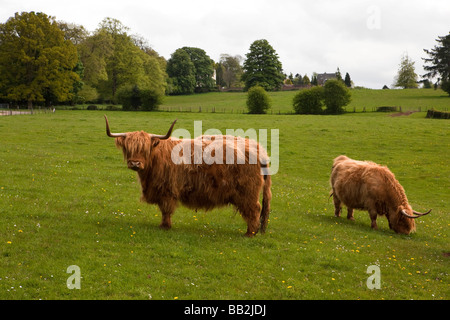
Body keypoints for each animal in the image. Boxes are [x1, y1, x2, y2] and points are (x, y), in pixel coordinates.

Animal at [104, 116, 270, 236]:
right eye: (128, 148)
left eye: (145, 149)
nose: (135, 163)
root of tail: (259, 150)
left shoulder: (167, 190)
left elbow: (166, 209)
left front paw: (165, 226)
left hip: (248, 191)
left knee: (254, 209)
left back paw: (250, 233)